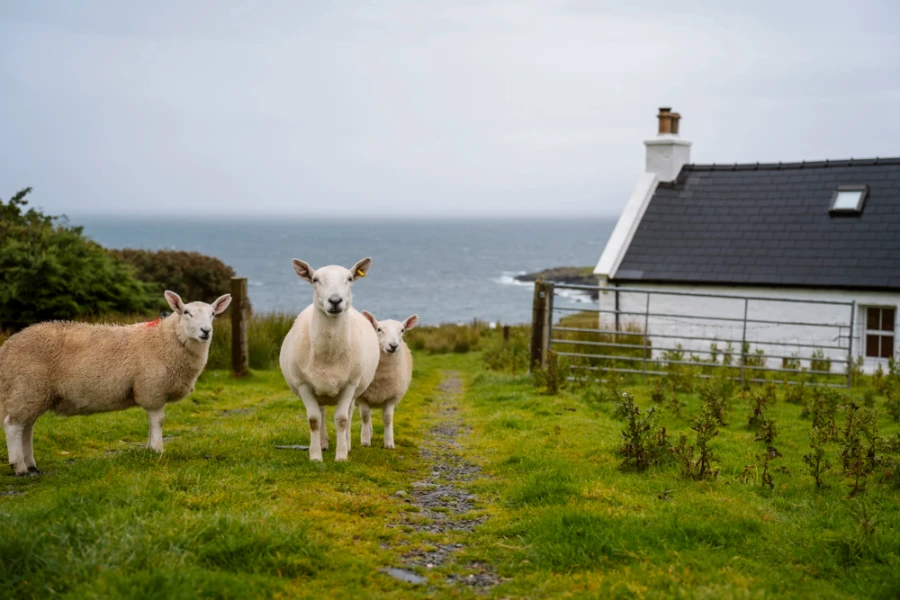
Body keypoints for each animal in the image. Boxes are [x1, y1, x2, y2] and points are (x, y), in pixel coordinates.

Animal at [0, 291, 231, 476]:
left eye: (213, 314)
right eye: (186, 312)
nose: (205, 331)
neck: (166, 338)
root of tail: (8, 345)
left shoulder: (150, 390)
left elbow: (152, 423)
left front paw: (149, 448)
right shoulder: (152, 389)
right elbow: (158, 421)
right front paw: (157, 450)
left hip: (33, 392)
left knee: (27, 427)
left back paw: (31, 465)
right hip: (27, 386)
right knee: (13, 426)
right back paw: (19, 467)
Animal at [279, 257, 380, 462]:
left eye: (350, 278)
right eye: (315, 279)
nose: (335, 301)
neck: (329, 355)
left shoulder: (349, 385)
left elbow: (342, 419)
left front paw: (341, 456)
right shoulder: (304, 385)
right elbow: (314, 420)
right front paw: (315, 456)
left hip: (355, 389)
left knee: (348, 413)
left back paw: (347, 444)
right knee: (322, 412)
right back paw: (323, 443)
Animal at [357, 312, 417, 449]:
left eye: (402, 330)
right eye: (379, 329)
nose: (393, 346)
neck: (381, 379)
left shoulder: (391, 397)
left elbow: (388, 419)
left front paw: (389, 442)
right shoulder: (362, 397)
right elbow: (365, 416)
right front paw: (365, 440)